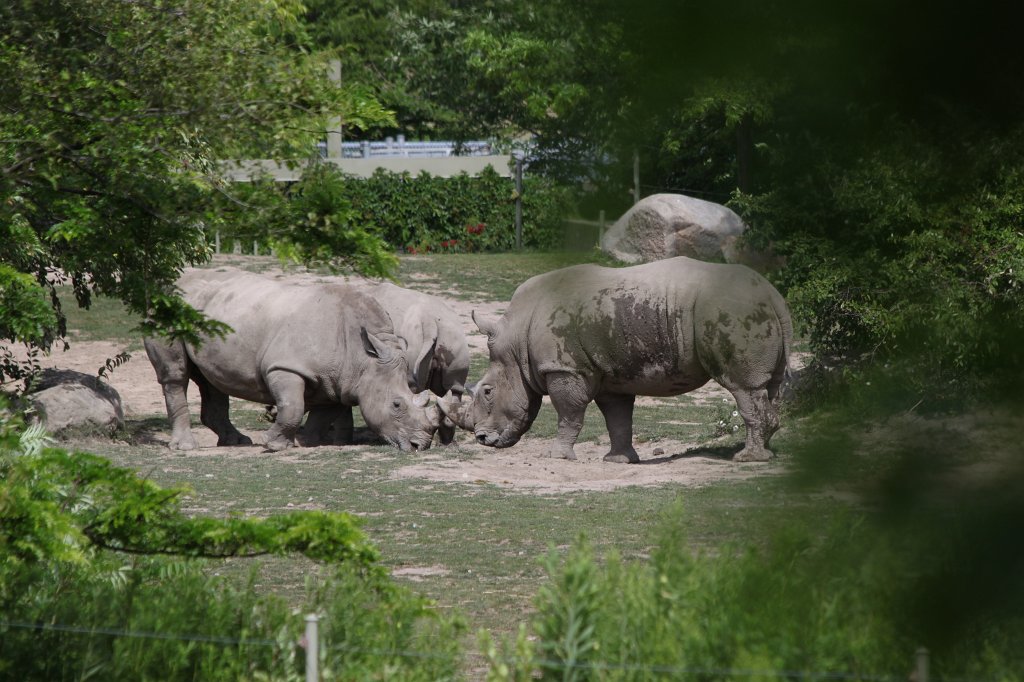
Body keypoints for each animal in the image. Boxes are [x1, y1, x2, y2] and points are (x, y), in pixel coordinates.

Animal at [144, 268, 439, 452]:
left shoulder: (339, 381)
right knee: (176, 376)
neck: (364, 358)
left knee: (211, 381)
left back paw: (237, 442)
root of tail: (163, 289)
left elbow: (322, 413)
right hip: (166, 314)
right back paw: (187, 446)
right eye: (397, 404)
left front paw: (306, 443)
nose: (420, 445)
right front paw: (273, 444)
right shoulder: (286, 367)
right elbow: (292, 406)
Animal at [440, 256, 792, 463]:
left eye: (487, 391)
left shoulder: (565, 368)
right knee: (771, 387)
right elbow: (618, 417)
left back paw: (748, 458)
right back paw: (767, 450)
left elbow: (569, 413)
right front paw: (618, 460)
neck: (516, 343)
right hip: (753, 310)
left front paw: (557, 457)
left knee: (743, 387)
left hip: (732, 311)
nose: (483, 439)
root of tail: (772, 293)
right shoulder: (611, 374)